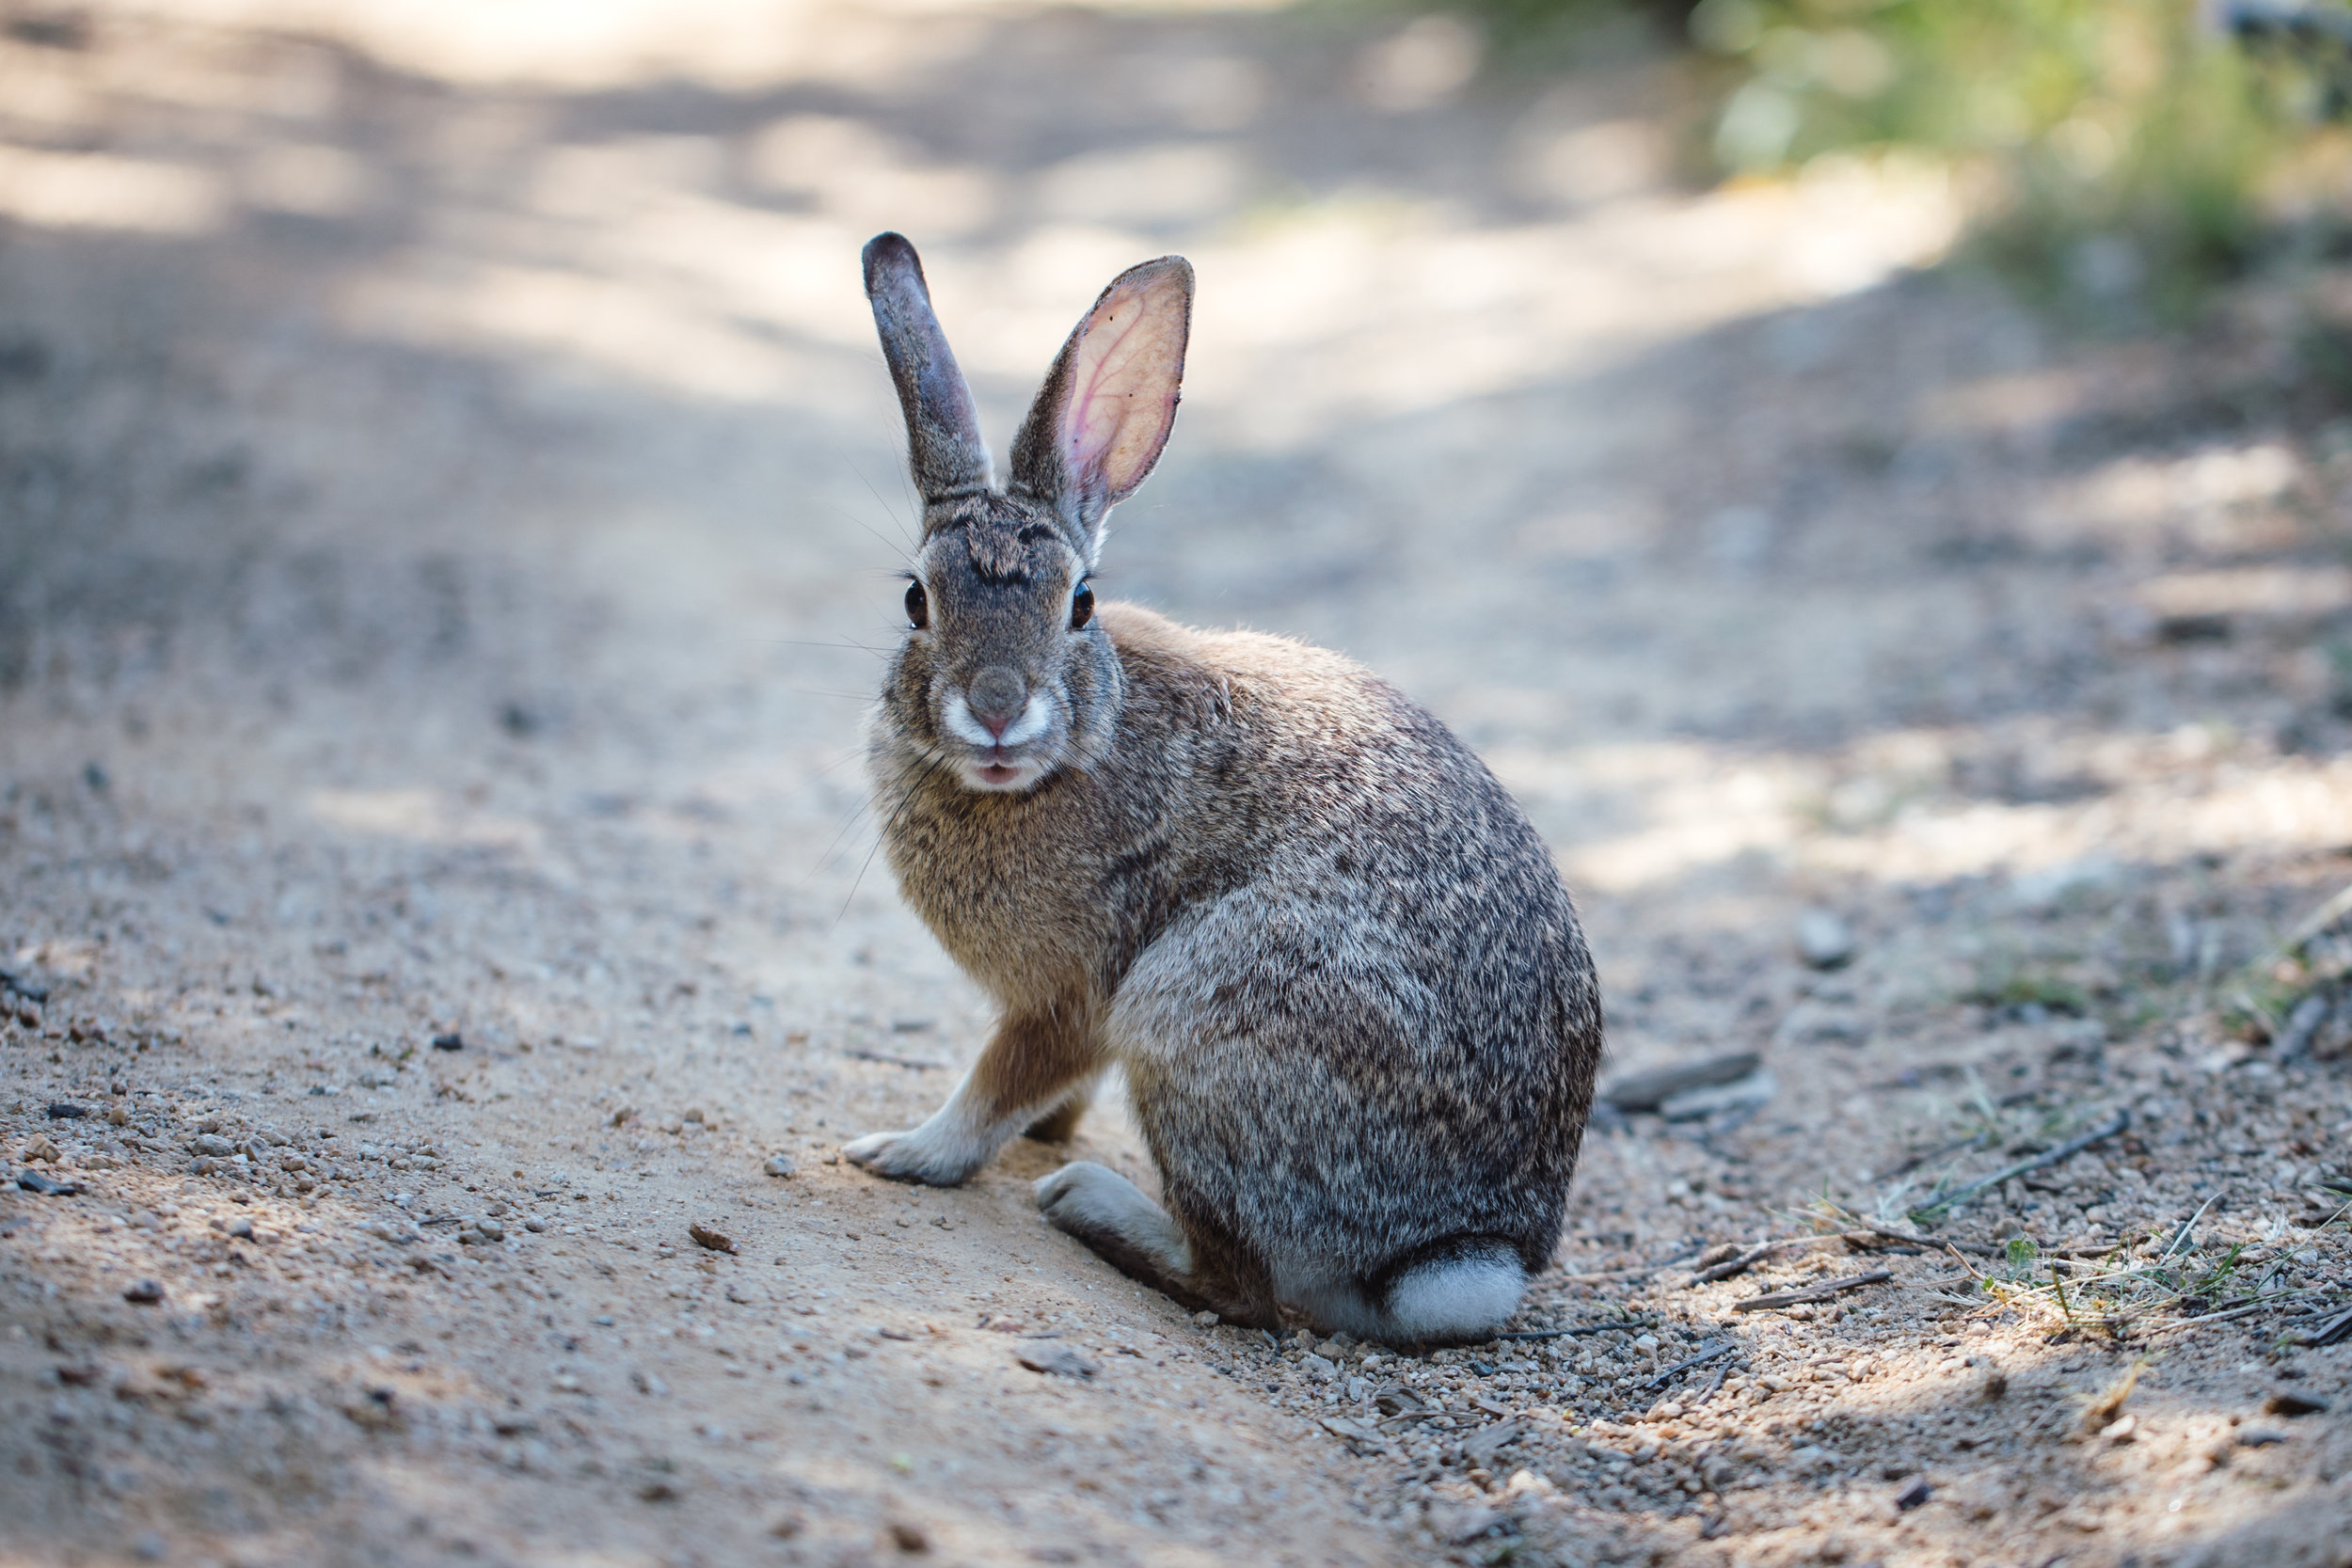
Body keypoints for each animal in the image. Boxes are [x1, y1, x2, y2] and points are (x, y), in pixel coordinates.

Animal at [841, 231, 1603, 1344]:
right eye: (914, 602)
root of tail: (1459, 1250)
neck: (1081, 743)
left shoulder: (1077, 990)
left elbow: (1001, 1080)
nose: (996, 710)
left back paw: (1090, 1204)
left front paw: (904, 1152)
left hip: (1194, 1017)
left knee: (1238, 1287)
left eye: (1081, 604)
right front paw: (1045, 1128)